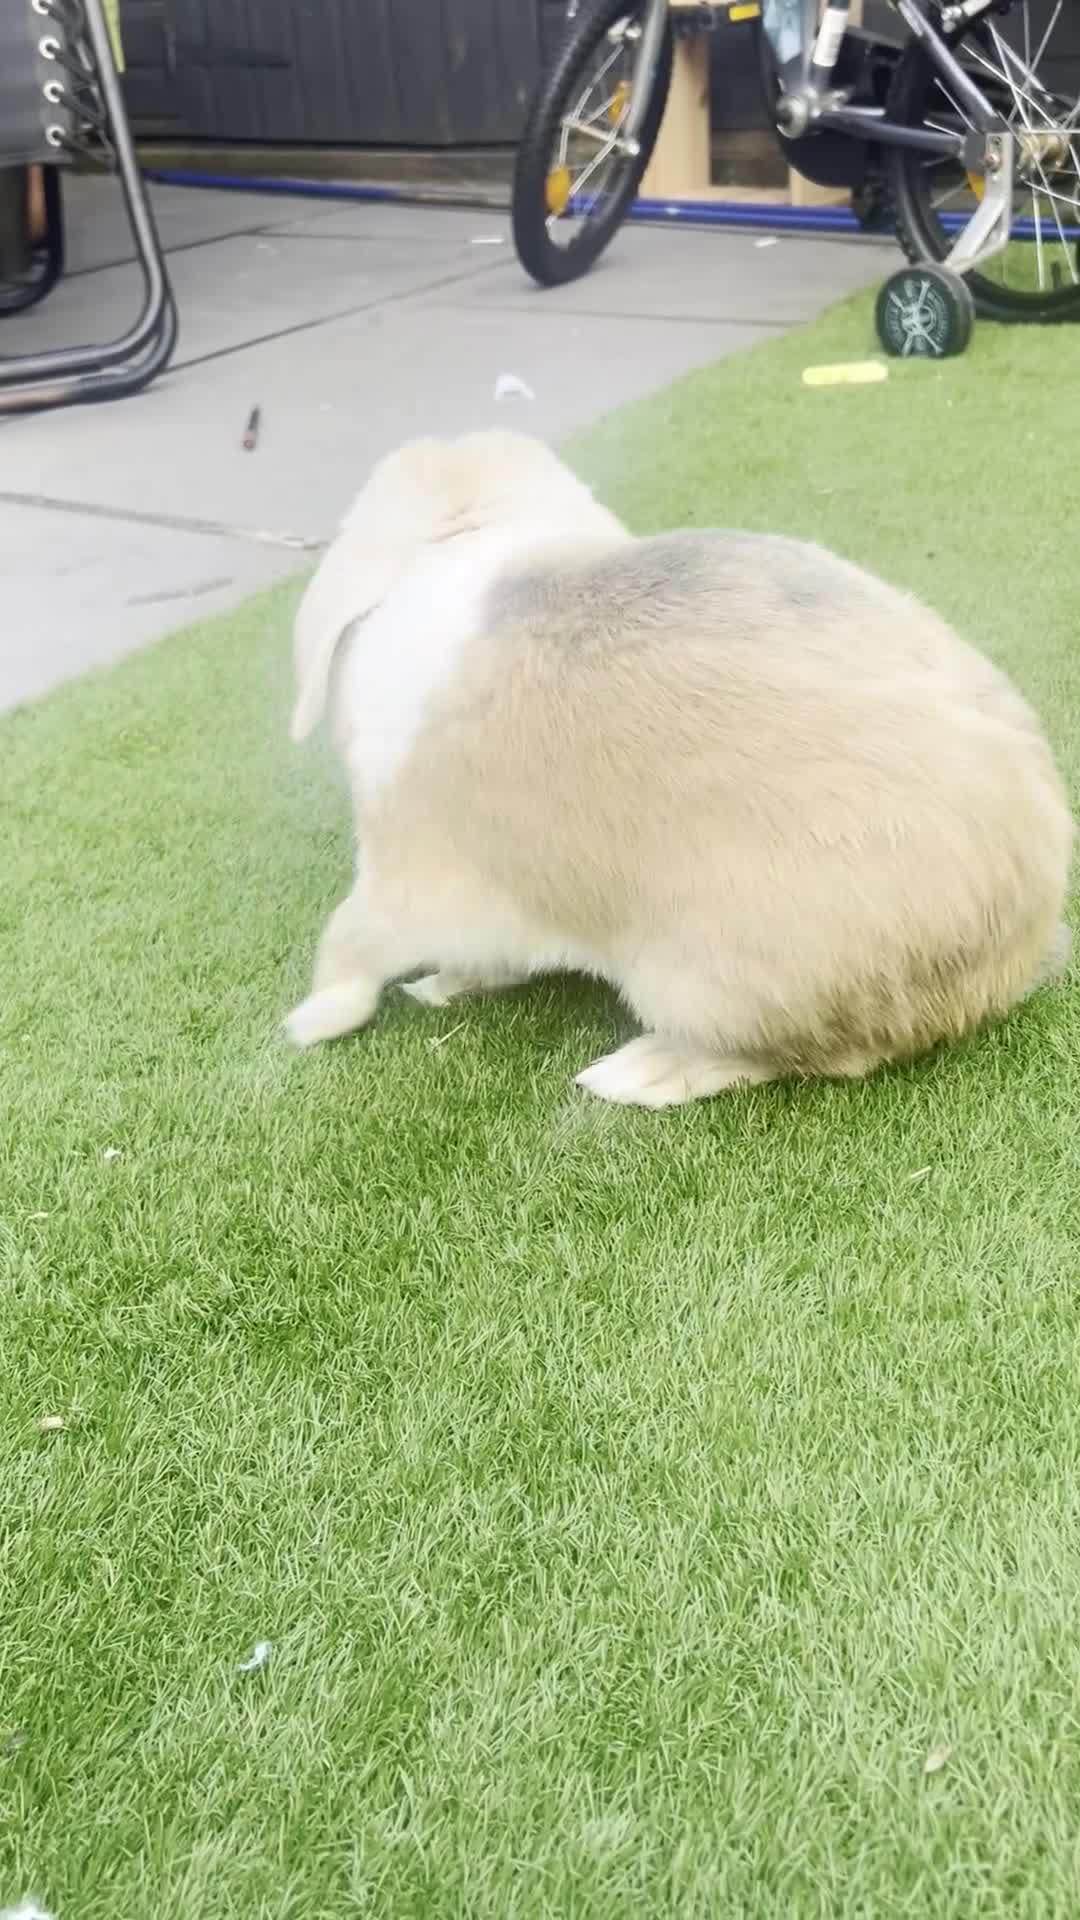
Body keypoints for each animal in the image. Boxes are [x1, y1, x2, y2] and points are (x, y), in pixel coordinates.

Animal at [284, 428, 1072, 1110]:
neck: (464, 535)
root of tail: (1019, 943)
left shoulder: (412, 873)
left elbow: (349, 942)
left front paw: (313, 1020)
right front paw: (443, 986)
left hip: (711, 982)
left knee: (805, 1057)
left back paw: (637, 1073)